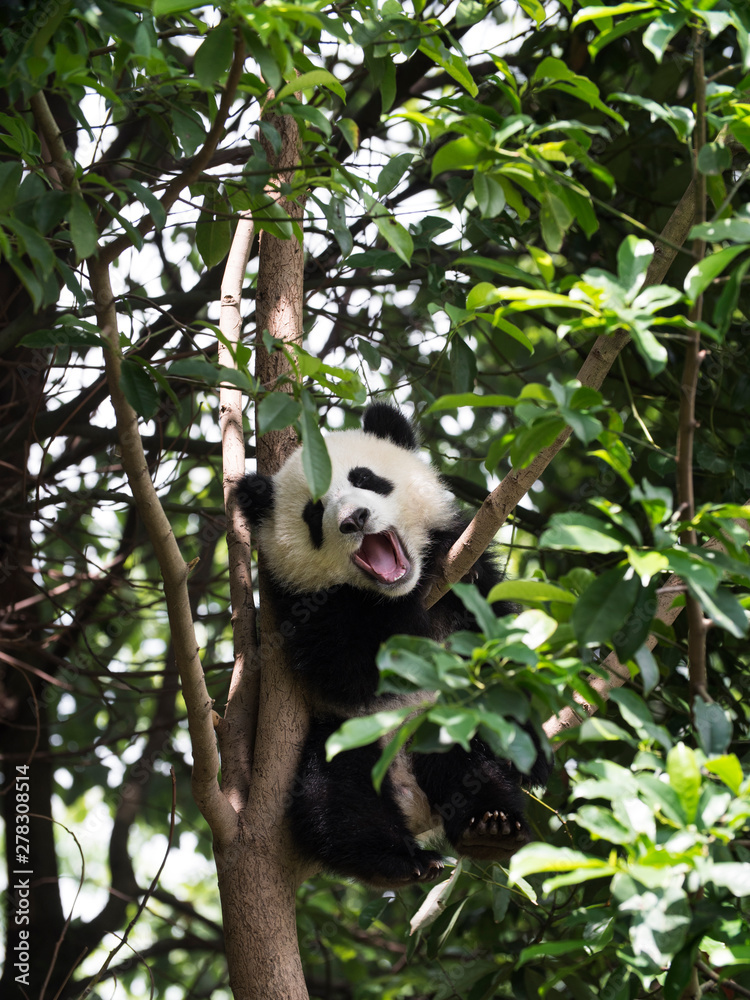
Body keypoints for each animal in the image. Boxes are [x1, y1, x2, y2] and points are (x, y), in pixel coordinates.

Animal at [236, 402, 549, 888]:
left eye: (366, 479)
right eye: (314, 512)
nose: (354, 519)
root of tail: (409, 794)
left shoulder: (468, 574)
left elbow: (495, 643)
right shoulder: (302, 611)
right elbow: (348, 668)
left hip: (447, 723)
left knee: (476, 766)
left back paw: (491, 826)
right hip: (345, 736)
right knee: (335, 799)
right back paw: (397, 861)